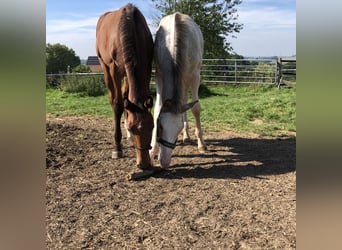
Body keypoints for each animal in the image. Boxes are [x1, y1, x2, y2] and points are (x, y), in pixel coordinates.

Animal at [97, 3, 154, 170]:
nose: (144, 164)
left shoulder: (146, 66)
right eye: (132, 128)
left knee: (125, 95)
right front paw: (117, 147)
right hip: (105, 67)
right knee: (115, 99)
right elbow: (118, 105)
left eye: (152, 127)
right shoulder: (114, 69)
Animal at [150, 11, 208, 168]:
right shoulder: (159, 75)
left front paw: (201, 144)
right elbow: (157, 109)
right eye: (160, 126)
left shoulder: (195, 76)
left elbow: (196, 108)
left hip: (188, 78)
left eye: (178, 130)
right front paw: (152, 150)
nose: (164, 162)